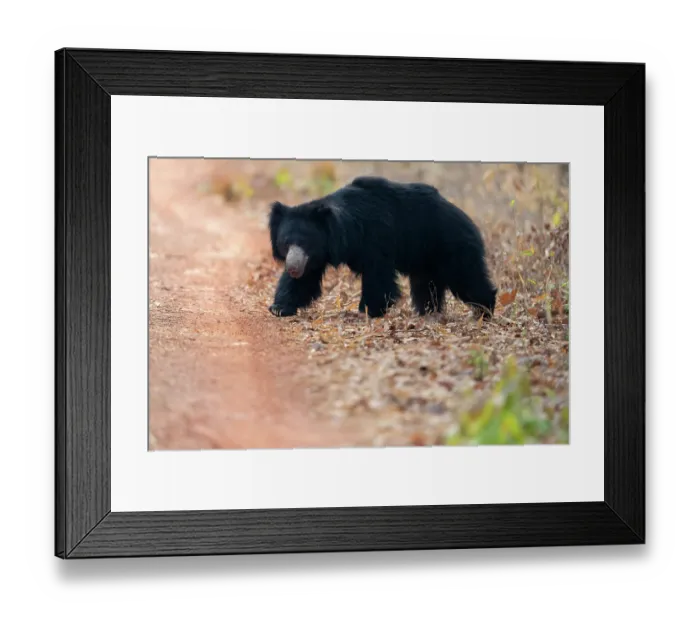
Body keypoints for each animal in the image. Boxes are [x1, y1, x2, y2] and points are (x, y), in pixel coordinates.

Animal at [267, 175, 498, 320]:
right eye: (285, 244)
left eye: (305, 242)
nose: (292, 268)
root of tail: (469, 221)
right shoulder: (316, 257)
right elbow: (305, 280)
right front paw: (279, 307)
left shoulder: (376, 239)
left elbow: (378, 275)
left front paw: (368, 310)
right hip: (426, 257)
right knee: (426, 285)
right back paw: (428, 312)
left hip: (451, 245)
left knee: (466, 277)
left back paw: (484, 310)